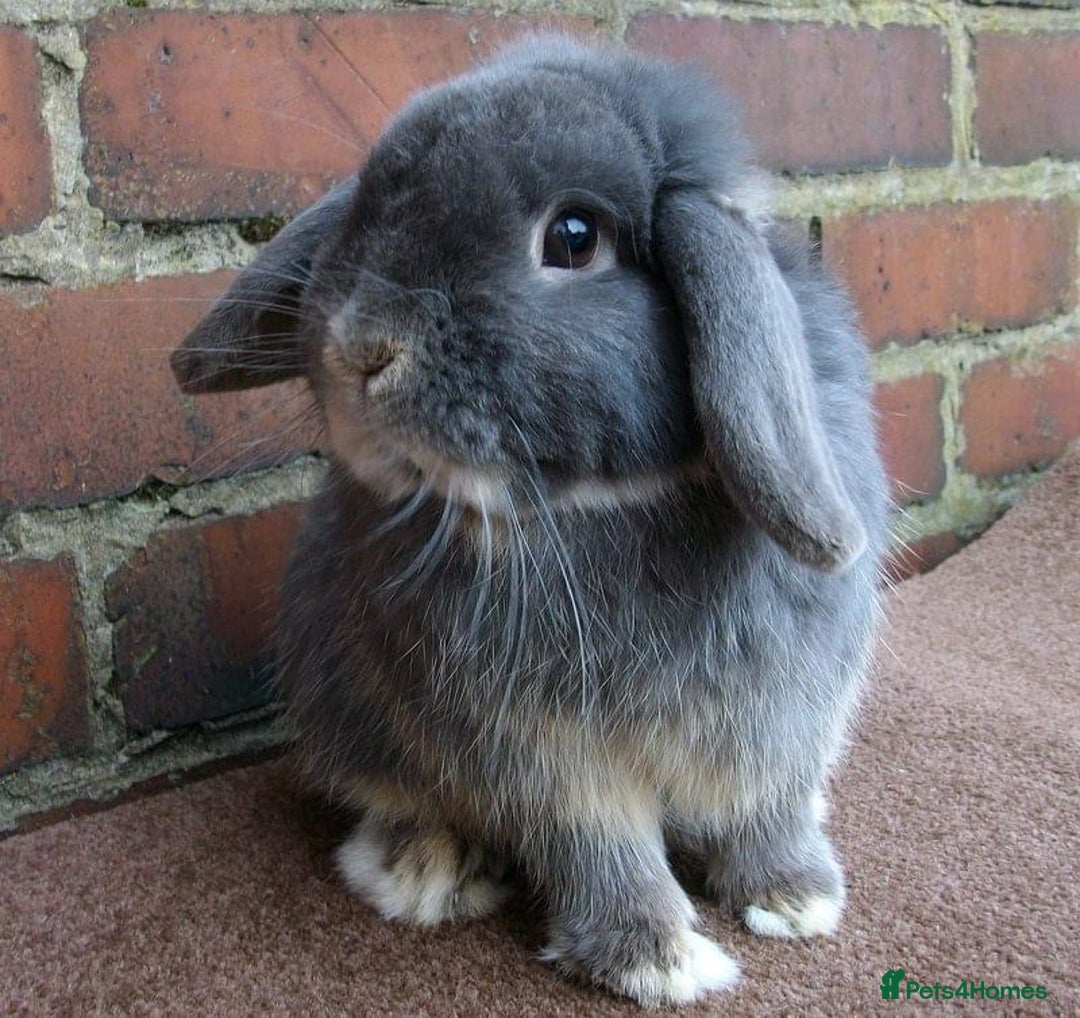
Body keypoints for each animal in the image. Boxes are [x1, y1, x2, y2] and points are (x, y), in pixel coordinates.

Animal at [171, 36, 888, 1007]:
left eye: (574, 237)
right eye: (365, 207)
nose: (360, 346)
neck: (596, 508)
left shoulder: (781, 715)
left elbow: (763, 809)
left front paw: (796, 897)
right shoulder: (536, 752)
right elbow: (597, 847)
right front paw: (656, 958)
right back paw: (424, 870)